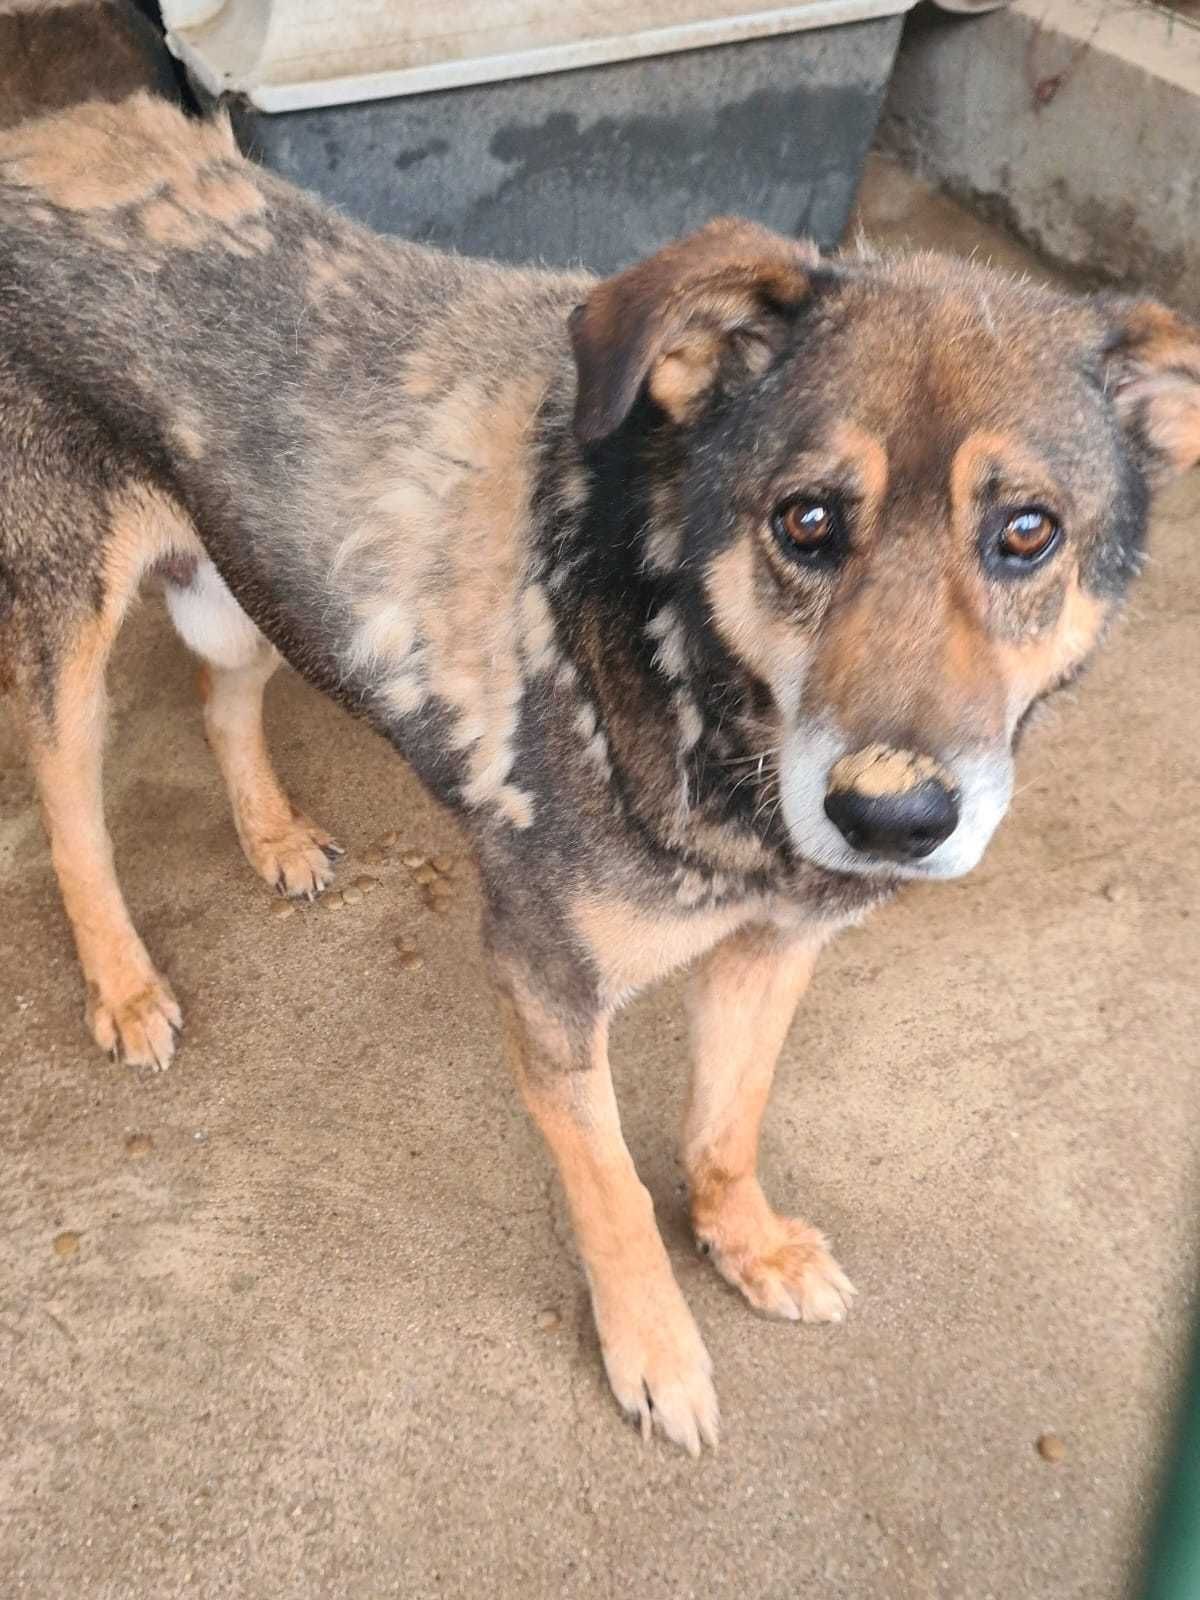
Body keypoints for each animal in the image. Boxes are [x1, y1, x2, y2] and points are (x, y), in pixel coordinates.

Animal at [2, 93, 1200, 1459]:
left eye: (1028, 532)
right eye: (805, 520)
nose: (890, 820)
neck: (691, 678)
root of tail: (35, 134)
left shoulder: (772, 945)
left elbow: (727, 1124)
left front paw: (745, 1242)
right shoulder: (548, 981)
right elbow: (616, 1183)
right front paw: (656, 1347)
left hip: (250, 578)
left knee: (223, 695)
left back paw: (272, 833)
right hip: (70, 610)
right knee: (70, 805)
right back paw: (123, 980)